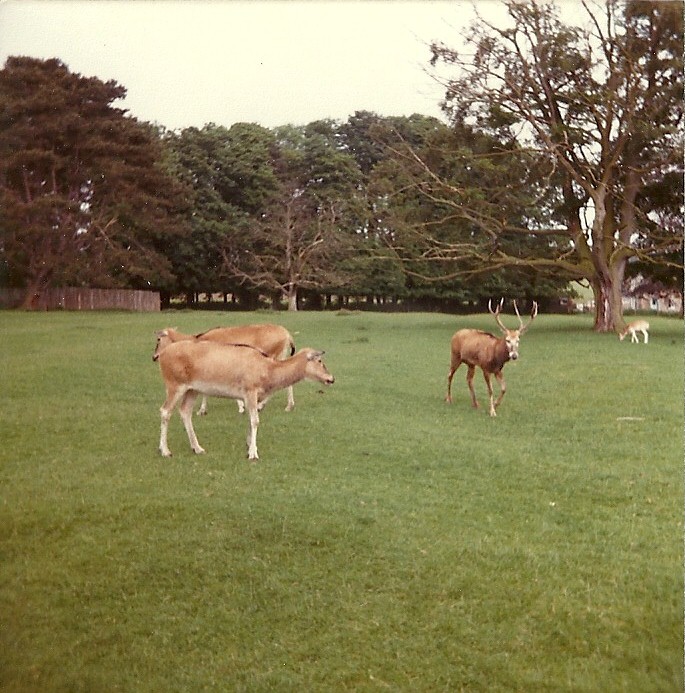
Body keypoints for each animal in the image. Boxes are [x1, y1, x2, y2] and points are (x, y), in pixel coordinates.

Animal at [152, 324, 296, 414]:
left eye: (158, 339)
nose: (154, 357)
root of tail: (287, 335)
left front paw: (202, 410)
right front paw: (241, 406)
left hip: (274, 358)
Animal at [156, 340, 334, 460]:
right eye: (320, 360)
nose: (331, 378)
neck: (268, 372)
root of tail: (161, 355)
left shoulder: (250, 396)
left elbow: (250, 419)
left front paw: (249, 445)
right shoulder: (250, 389)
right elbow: (255, 420)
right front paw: (253, 454)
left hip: (192, 389)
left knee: (185, 411)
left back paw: (198, 448)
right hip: (174, 384)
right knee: (165, 411)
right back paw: (165, 451)